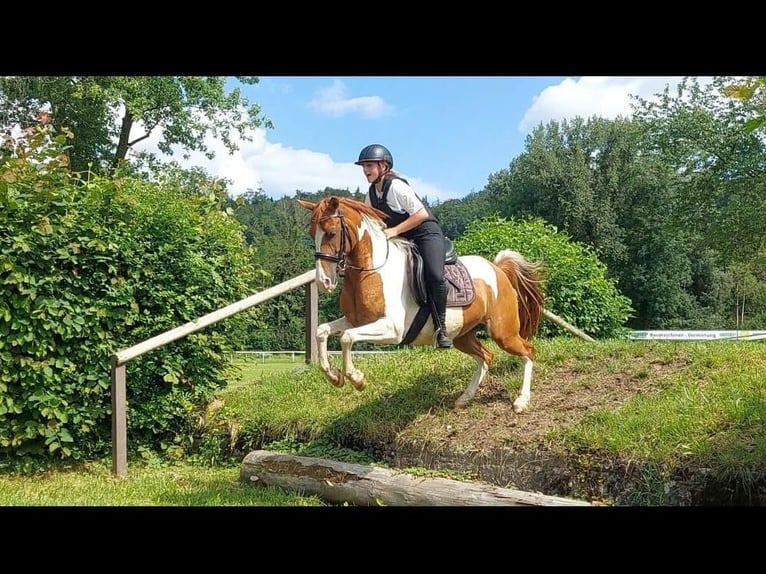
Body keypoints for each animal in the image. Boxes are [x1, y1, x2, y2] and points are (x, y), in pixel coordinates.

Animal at [298, 198, 544, 414]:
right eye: (311, 234)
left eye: (331, 233)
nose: (324, 282)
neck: (372, 270)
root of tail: (497, 268)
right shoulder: (355, 320)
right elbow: (322, 331)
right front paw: (334, 376)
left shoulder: (392, 329)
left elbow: (347, 338)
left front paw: (357, 379)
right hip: (462, 335)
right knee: (486, 357)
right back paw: (465, 398)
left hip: (503, 332)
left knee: (528, 352)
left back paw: (522, 401)